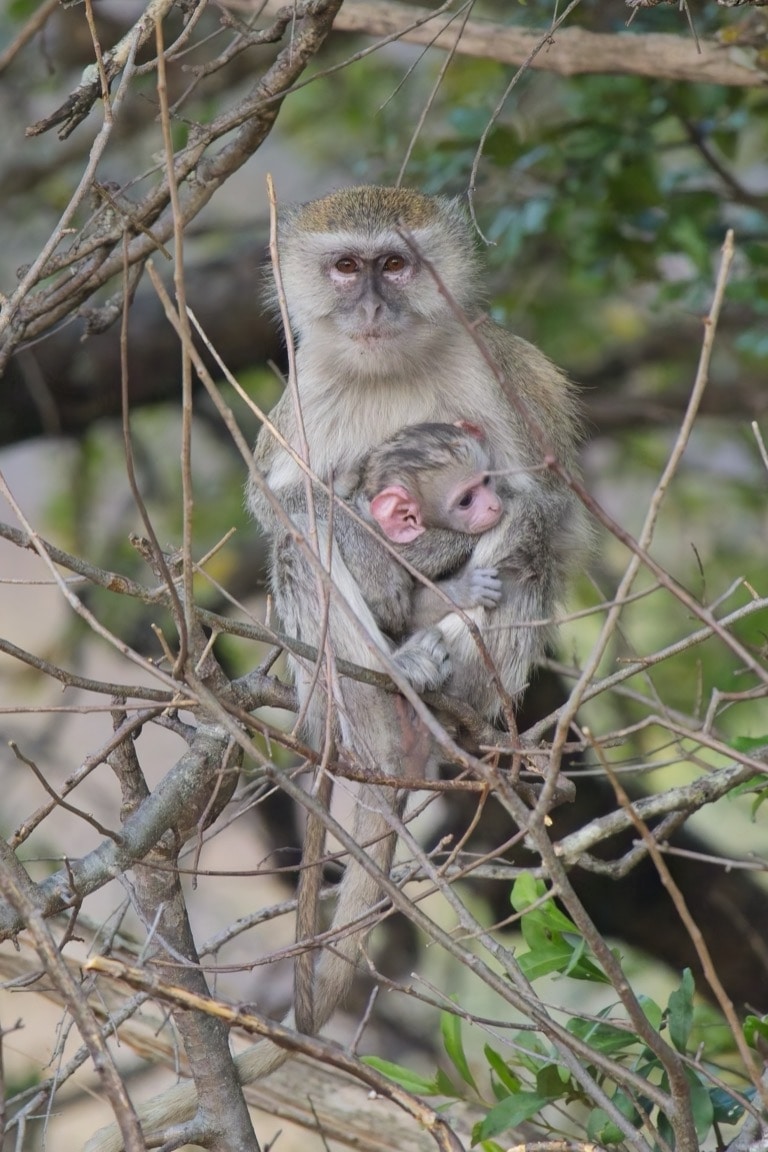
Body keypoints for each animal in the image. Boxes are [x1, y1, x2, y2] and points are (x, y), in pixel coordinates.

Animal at [86, 186, 586, 1152]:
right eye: (348, 267)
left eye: (395, 264)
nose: (373, 305)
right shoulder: (307, 390)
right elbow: (286, 506)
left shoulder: (494, 376)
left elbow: (538, 503)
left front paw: (464, 585)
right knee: (304, 534)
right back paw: (381, 686)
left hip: (496, 677)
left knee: (523, 562)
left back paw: (442, 671)